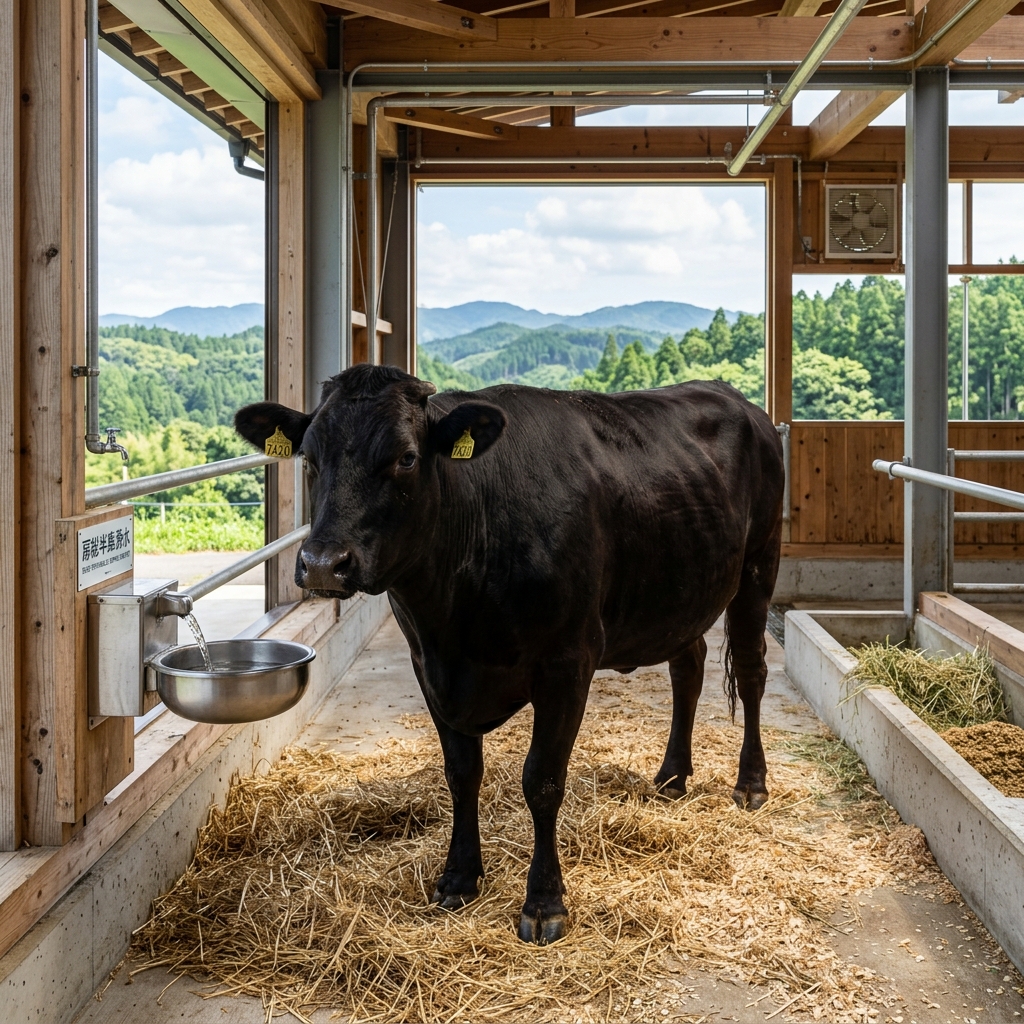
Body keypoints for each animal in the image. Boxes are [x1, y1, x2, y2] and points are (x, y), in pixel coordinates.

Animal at [234, 364, 784, 945]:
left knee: (751, 671)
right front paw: (458, 878)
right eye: (309, 458)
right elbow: (461, 774)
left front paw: (544, 903)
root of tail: (736, 399)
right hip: (681, 591)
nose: (322, 563)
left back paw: (751, 783)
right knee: (689, 665)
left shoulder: (568, 662)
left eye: (406, 457)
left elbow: (542, 781)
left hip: (759, 563)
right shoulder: (431, 669)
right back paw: (673, 777)